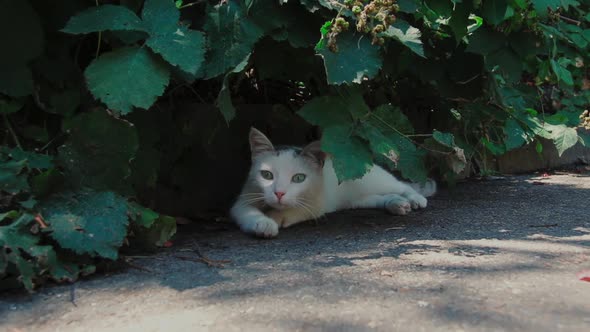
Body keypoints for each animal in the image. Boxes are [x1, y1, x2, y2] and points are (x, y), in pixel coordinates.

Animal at [231, 127, 440, 239]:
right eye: (267, 175)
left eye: (298, 178)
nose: (279, 193)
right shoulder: (244, 198)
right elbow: (246, 211)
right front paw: (262, 222)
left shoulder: (316, 204)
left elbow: (296, 210)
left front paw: (273, 218)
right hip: (356, 199)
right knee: (379, 197)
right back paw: (397, 204)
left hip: (376, 180)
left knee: (402, 186)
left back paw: (415, 199)